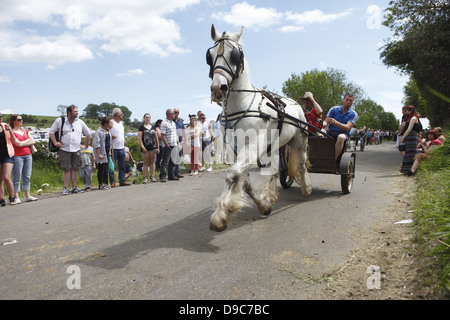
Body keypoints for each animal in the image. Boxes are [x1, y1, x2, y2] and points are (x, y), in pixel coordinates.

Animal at [208, 24, 312, 230]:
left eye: (234, 55)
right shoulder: (233, 149)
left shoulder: (254, 145)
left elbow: (232, 175)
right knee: (274, 171)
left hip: (299, 141)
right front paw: (264, 204)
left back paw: (306, 189)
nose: (218, 88)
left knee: (302, 165)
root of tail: (295, 104)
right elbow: (242, 180)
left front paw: (220, 214)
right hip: (275, 146)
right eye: (210, 56)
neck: (240, 105)